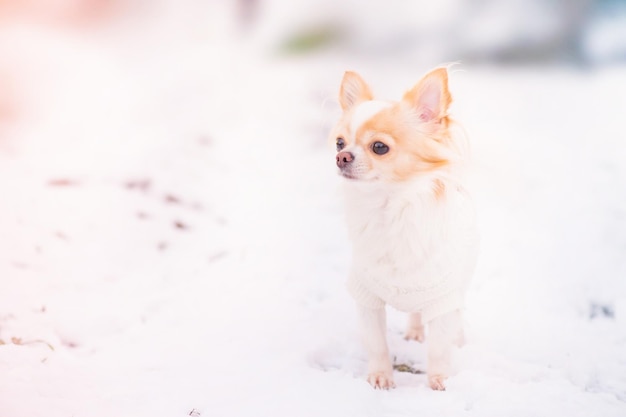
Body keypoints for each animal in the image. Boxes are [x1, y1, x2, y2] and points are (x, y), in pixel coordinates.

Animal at [332, 66, 478, 388]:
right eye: (339, 143)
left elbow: (439, 347)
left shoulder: (442, 299)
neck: (388, 209)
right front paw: (380, 377)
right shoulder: (367, 298)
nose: (340, 157)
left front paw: (439, 380)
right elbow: (377, 343)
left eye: (379, 147)